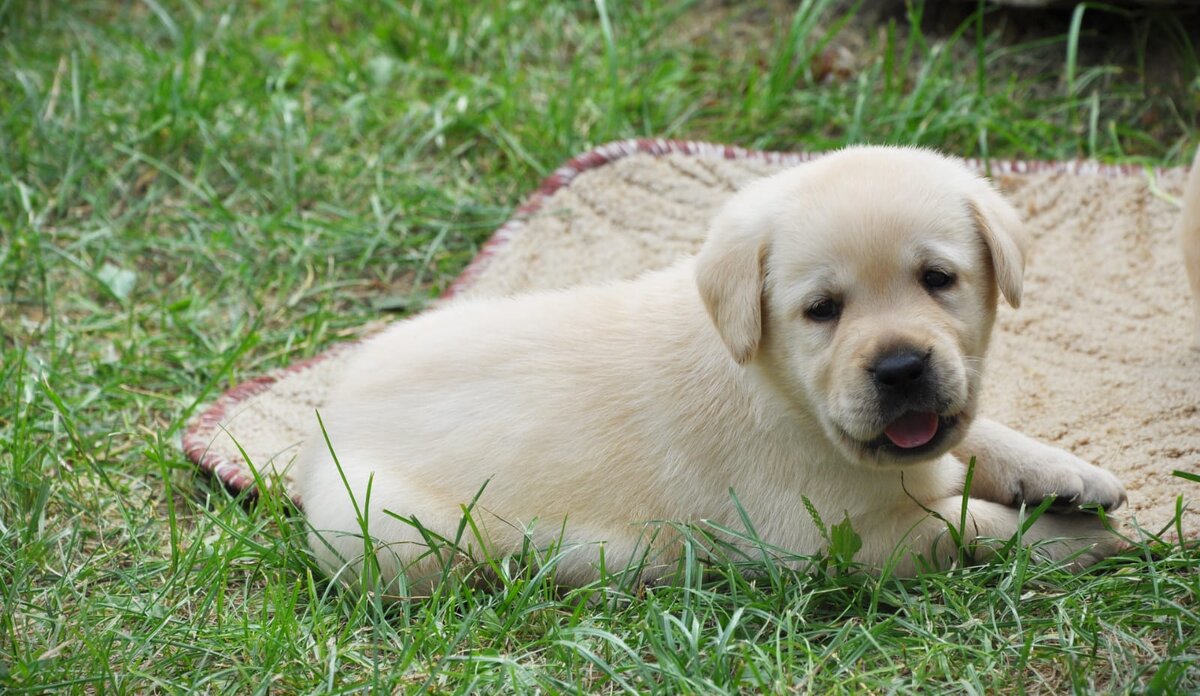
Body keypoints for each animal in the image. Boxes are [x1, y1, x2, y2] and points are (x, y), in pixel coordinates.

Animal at [295, 148, 1128, 592]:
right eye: (822, 310)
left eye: (938, 279)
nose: (899, 367)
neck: (782, 391)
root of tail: (327, 416)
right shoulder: (838, 540)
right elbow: (973, 526)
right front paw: (1077, 538)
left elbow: (979, 435)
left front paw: (1069, 474)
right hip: (390, 535)